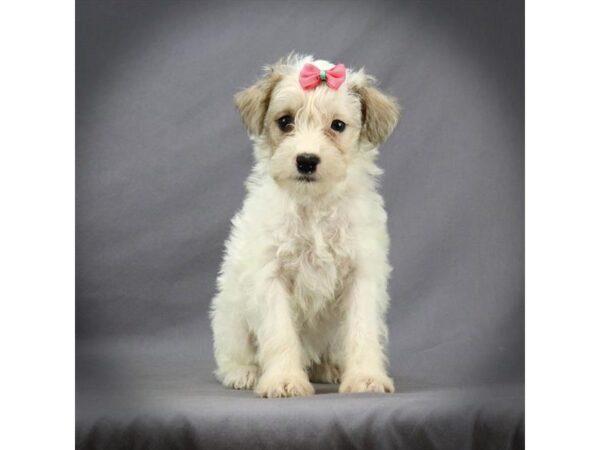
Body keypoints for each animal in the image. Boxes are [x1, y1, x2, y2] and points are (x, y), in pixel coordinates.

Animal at [209, 53, 400, 398]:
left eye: (337, 125)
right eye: (285, 121)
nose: (307, 160)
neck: (314, 206)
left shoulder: (361, 275)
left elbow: (362, 330)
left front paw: (366, 377)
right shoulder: (270, 275)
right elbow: (280, 333)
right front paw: (284, 379)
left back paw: (330, 367)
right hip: (231, 315)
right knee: (233, 354)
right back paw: (245, 372)